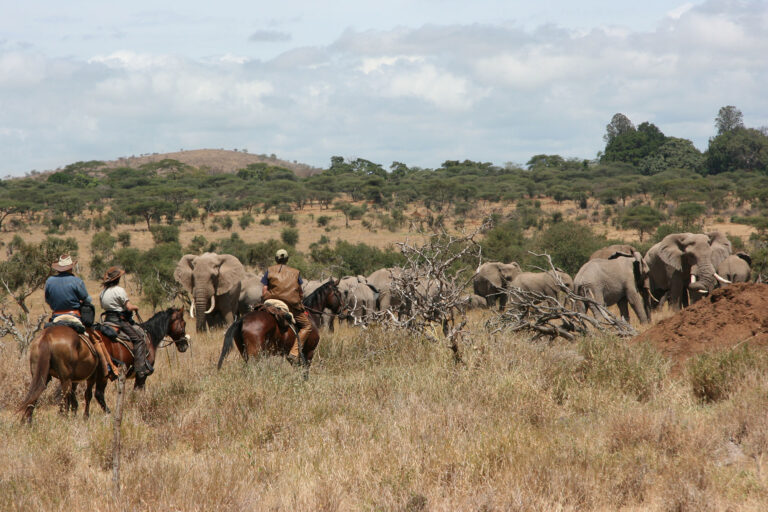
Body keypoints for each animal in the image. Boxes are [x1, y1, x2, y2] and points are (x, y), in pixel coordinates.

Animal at [18, 307, 189, 423]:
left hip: (47, 375)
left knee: (39, 392)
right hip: (94, 376)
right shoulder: (142, 376)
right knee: (94, 394)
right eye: (184, 322)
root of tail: (47, 337)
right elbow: (138, 391)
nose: (185, 345)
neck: (149, 336)